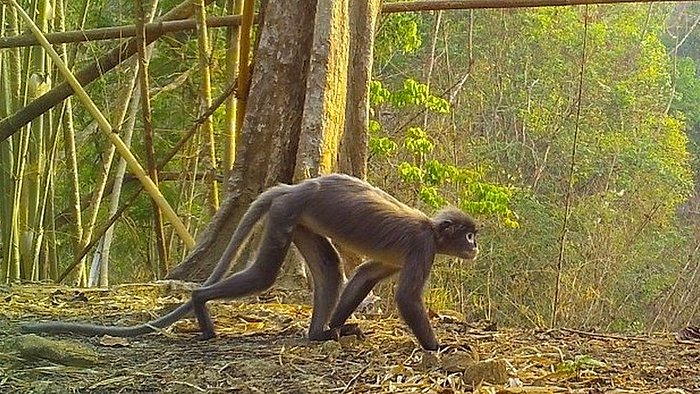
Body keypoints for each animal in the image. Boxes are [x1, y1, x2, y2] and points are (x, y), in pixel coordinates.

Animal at [23, 174, 482, 350]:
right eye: (468, 234)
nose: (475, 246)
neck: (431, 230)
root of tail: (295, 186)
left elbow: (366, 274)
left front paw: (338, 326)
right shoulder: (422, 247)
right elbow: (406, 298)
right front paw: (440, 347)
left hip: (297, 218)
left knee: (329, 267)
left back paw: (319, 333)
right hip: (287, 213)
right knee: (263, 275)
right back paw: (201, 304)